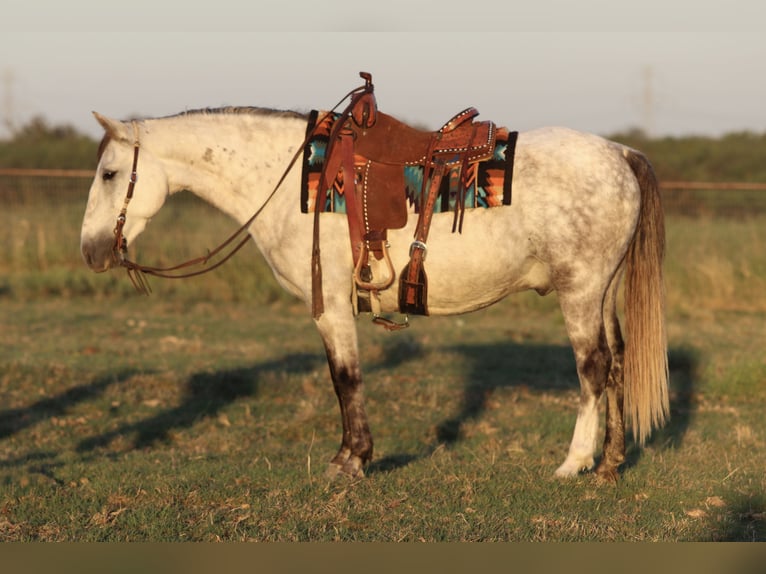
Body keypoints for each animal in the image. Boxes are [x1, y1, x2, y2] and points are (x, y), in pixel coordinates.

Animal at [80, 101, 669, 483]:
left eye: (109, 173)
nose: (90, 251)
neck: (294, 183)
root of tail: (620, 153)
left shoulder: (332, 308)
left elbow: (345, 379)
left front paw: (351, 461)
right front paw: (353, 457)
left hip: (580, 291)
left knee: (593, 369)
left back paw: (574, 463)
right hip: (603, 293)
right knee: (617, 364)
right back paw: (610, 464)